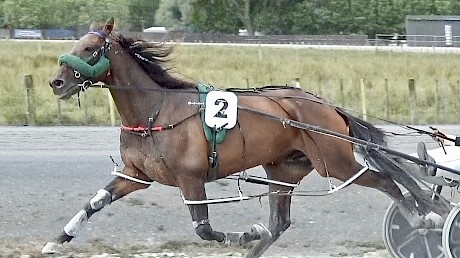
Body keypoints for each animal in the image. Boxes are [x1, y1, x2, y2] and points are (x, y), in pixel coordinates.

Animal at [42, 17, 450, 256]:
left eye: (89, 48)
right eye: (75, 45)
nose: (56, 82)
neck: (156, 111)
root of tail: (324, 104)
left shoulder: (190, 179)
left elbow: (205, 229)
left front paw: (245, 234)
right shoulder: (136, 175)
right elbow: (94, 203)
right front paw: (55, 241)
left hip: (335, 161)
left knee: (385, 180)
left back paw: (425, 220)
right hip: (283, 170)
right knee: (280, 222)